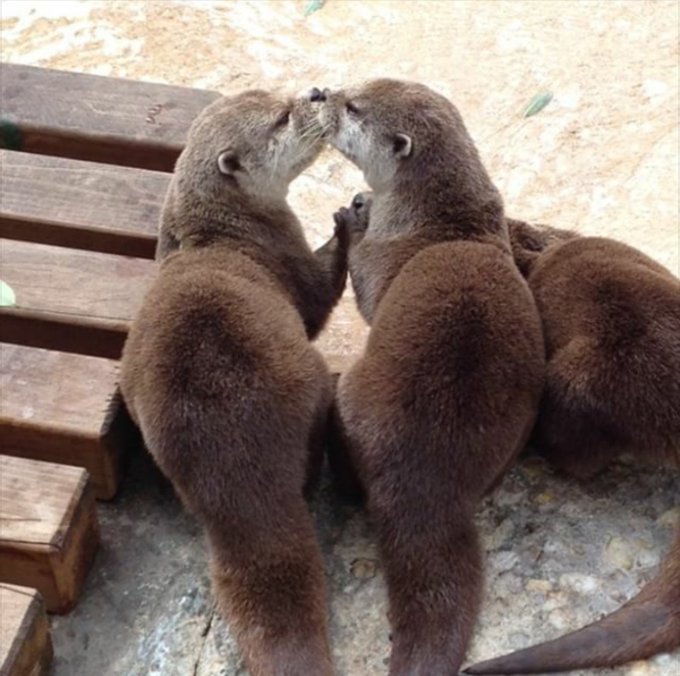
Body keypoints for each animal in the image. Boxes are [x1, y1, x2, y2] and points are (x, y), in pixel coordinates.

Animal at [119, 89, 349, 675]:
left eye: (282, 94)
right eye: (283, 117)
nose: (315, 92)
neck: (221, 231)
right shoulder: (288, 254)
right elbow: (318, 296)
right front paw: (346, 224)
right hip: (308, 382)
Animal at [317, 80, 545, 675]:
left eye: (353, 108)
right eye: (354, 86)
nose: (322, 92)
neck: (442, 220)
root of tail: (424, 479)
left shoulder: (385, 254)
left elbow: (367, 286)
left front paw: (354, 213)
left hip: (350, 397)